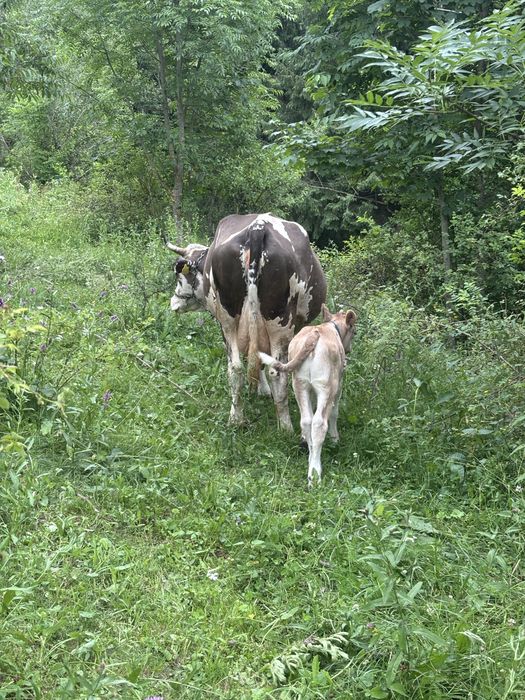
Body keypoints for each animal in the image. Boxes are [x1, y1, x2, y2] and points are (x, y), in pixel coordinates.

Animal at [167, 213, 327, 429]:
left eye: (179, 277)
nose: (173, 302)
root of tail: (257, 227)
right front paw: (263, 391)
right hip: (279, 323)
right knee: (277, 373)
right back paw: (285, 427)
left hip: (228, 321)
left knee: (235, 368)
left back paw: (237, 418)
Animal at [259, 304, 357, 485]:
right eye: (354, 332)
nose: (349, 349)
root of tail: (314, 335)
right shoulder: (338, 384)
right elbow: (334, 412)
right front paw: (335, 439)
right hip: (326, 386)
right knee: (319, 423)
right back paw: (315, 473)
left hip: (300, 384)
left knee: (306, 421)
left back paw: (310, 458)